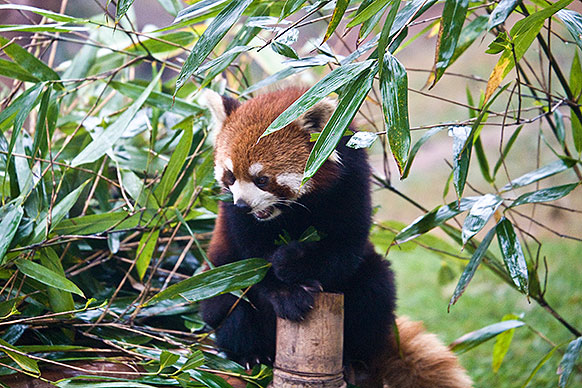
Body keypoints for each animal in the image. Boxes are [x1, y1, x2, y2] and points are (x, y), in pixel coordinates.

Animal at [201, 88, 474, 388]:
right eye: (230, 176)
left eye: (262, 179)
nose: (242, 205)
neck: (291, 210)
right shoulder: (235, 222)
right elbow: (254, 261)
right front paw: (287, 293)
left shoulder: (351, 183)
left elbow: (344, 249)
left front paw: (291, 260)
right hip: (217, 281)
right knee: (228, 304)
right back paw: (252, 355)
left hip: (369, 294)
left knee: (374, 288)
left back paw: (351, 360)